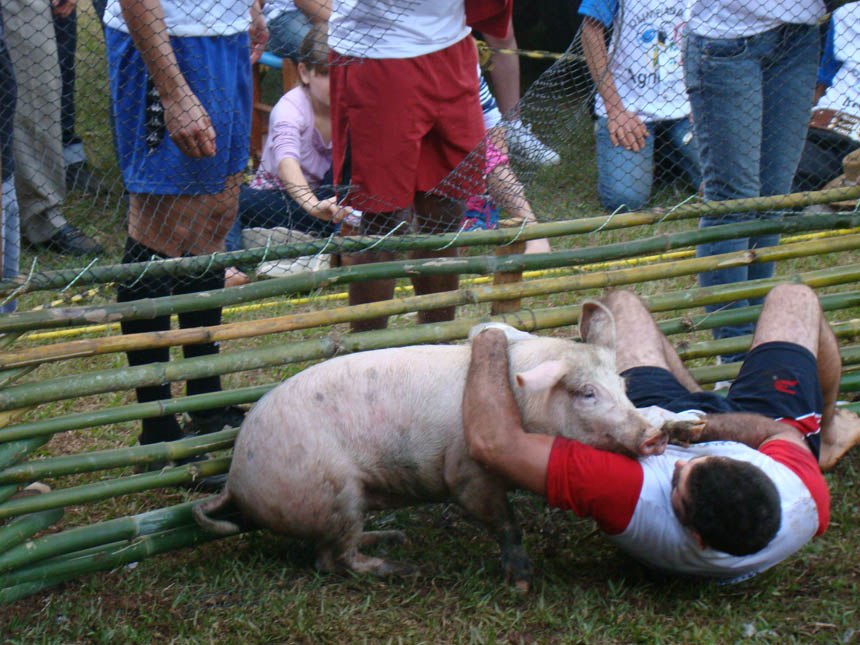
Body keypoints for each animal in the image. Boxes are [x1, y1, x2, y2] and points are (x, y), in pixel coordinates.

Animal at [195, 300, 664, 588]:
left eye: (623, 385)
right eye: (586, 393)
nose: (652, 434)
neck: (522, 404)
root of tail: (234, 477)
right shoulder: (465, 473)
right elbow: (504, 521)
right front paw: (522, 581)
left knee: (331, 552)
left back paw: (394, 536)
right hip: (334, 492)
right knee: (332, 560)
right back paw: (407, 567)